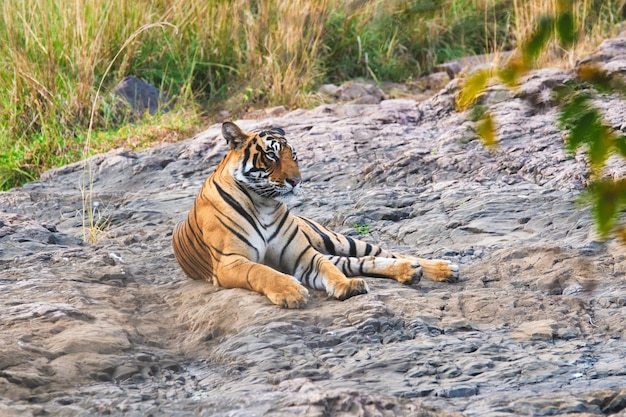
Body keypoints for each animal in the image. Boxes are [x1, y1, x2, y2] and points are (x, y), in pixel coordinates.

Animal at [172, 122, 458, 308]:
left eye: (295, 156)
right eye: (271, 155)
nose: (297, 181)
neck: (263, 203)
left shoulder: (303, 255)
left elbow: (327, 268)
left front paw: (346, 286)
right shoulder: (230, 262)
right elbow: (262, 272)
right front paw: (291, 292)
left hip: (335, 239)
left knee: (381, 253)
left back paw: (441, 268)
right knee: (361, 262)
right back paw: (411, 272)